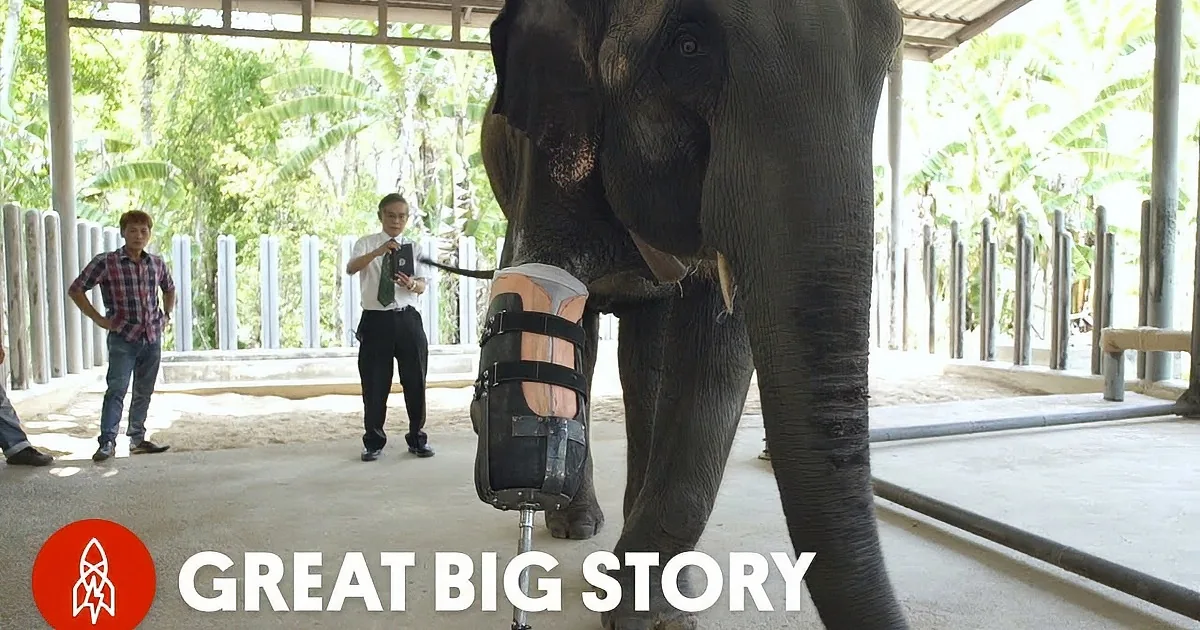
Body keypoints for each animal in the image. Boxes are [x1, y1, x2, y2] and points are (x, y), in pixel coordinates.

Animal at [428, 0, 910, 627]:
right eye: (687, 46)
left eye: (887, 52)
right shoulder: (551, 149)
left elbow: (716, 351)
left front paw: (656, 614)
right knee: (586, 343)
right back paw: (575, 524)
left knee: (644, 362)